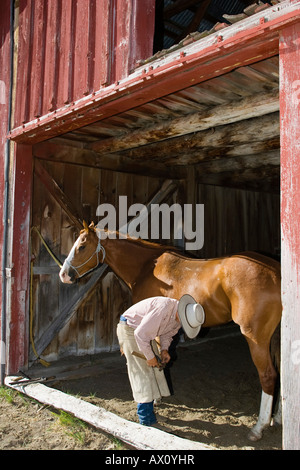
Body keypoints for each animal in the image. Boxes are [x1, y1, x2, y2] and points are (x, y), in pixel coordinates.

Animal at [59, 222, 282, 438]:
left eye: (81, 246)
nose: (64, 275)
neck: (146, 268)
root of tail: (275, 273)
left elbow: (153, 358)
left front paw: (156, 399)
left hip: (255, 338)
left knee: (268, 375)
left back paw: (258, 428)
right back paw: (277, 418)